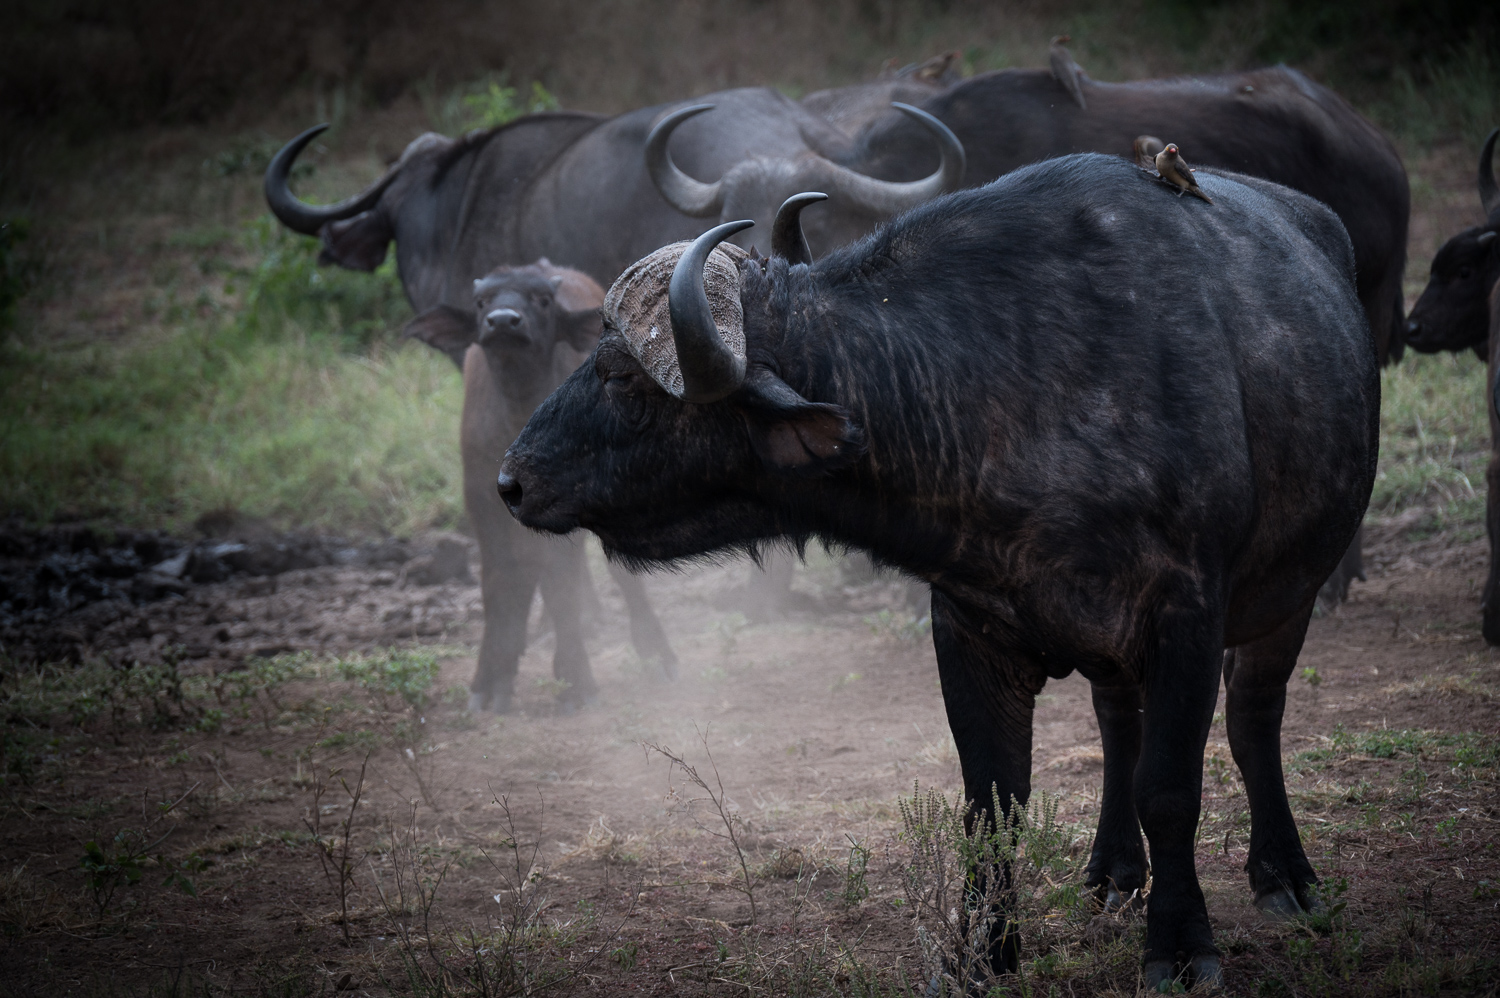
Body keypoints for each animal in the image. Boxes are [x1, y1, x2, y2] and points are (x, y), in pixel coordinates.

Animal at [402, 256, 678, 708]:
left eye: (543, 300)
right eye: (481, 302)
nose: (502, 321)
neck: (518, 413)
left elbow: (561, 581)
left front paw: (575, 678)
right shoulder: (479, 497)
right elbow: (499, 578)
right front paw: (490, 677)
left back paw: (655, 649)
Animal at [498, 159, 1374, 984]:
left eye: (617, 372)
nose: (511, 480)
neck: (1012, 380)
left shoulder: (1186, 615)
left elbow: (1170, 790)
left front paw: (1182, 948)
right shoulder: (967, 626)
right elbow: (991, 803)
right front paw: (983, 955)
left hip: (1294, 589)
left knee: (1254, 715)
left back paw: (1283, 874)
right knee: (1116, 721)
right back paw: (1114, 872)